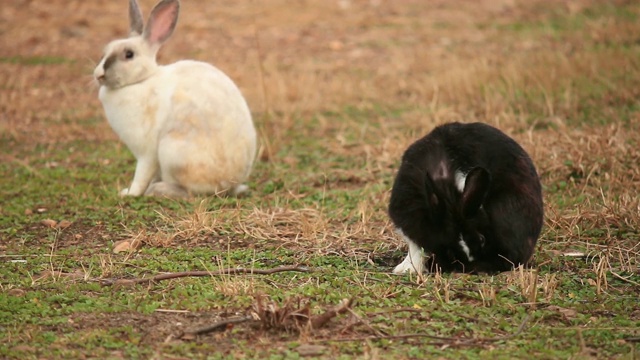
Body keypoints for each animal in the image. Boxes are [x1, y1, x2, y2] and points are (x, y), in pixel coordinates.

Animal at [93, 0, 258, 198]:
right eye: (104, 52)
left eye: (129, 55)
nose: (99, 75)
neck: (141, 80)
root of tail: (230, 184)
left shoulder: (147, 153)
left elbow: (141, 176)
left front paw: (129, 193)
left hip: (172, 152)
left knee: (191, 193)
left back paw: (158, 190)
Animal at [388, 122, 544, 274]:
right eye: (450, 250)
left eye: (482, 239)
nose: (468, 262)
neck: (448, 196)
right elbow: (416, 249)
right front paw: (406, 269)